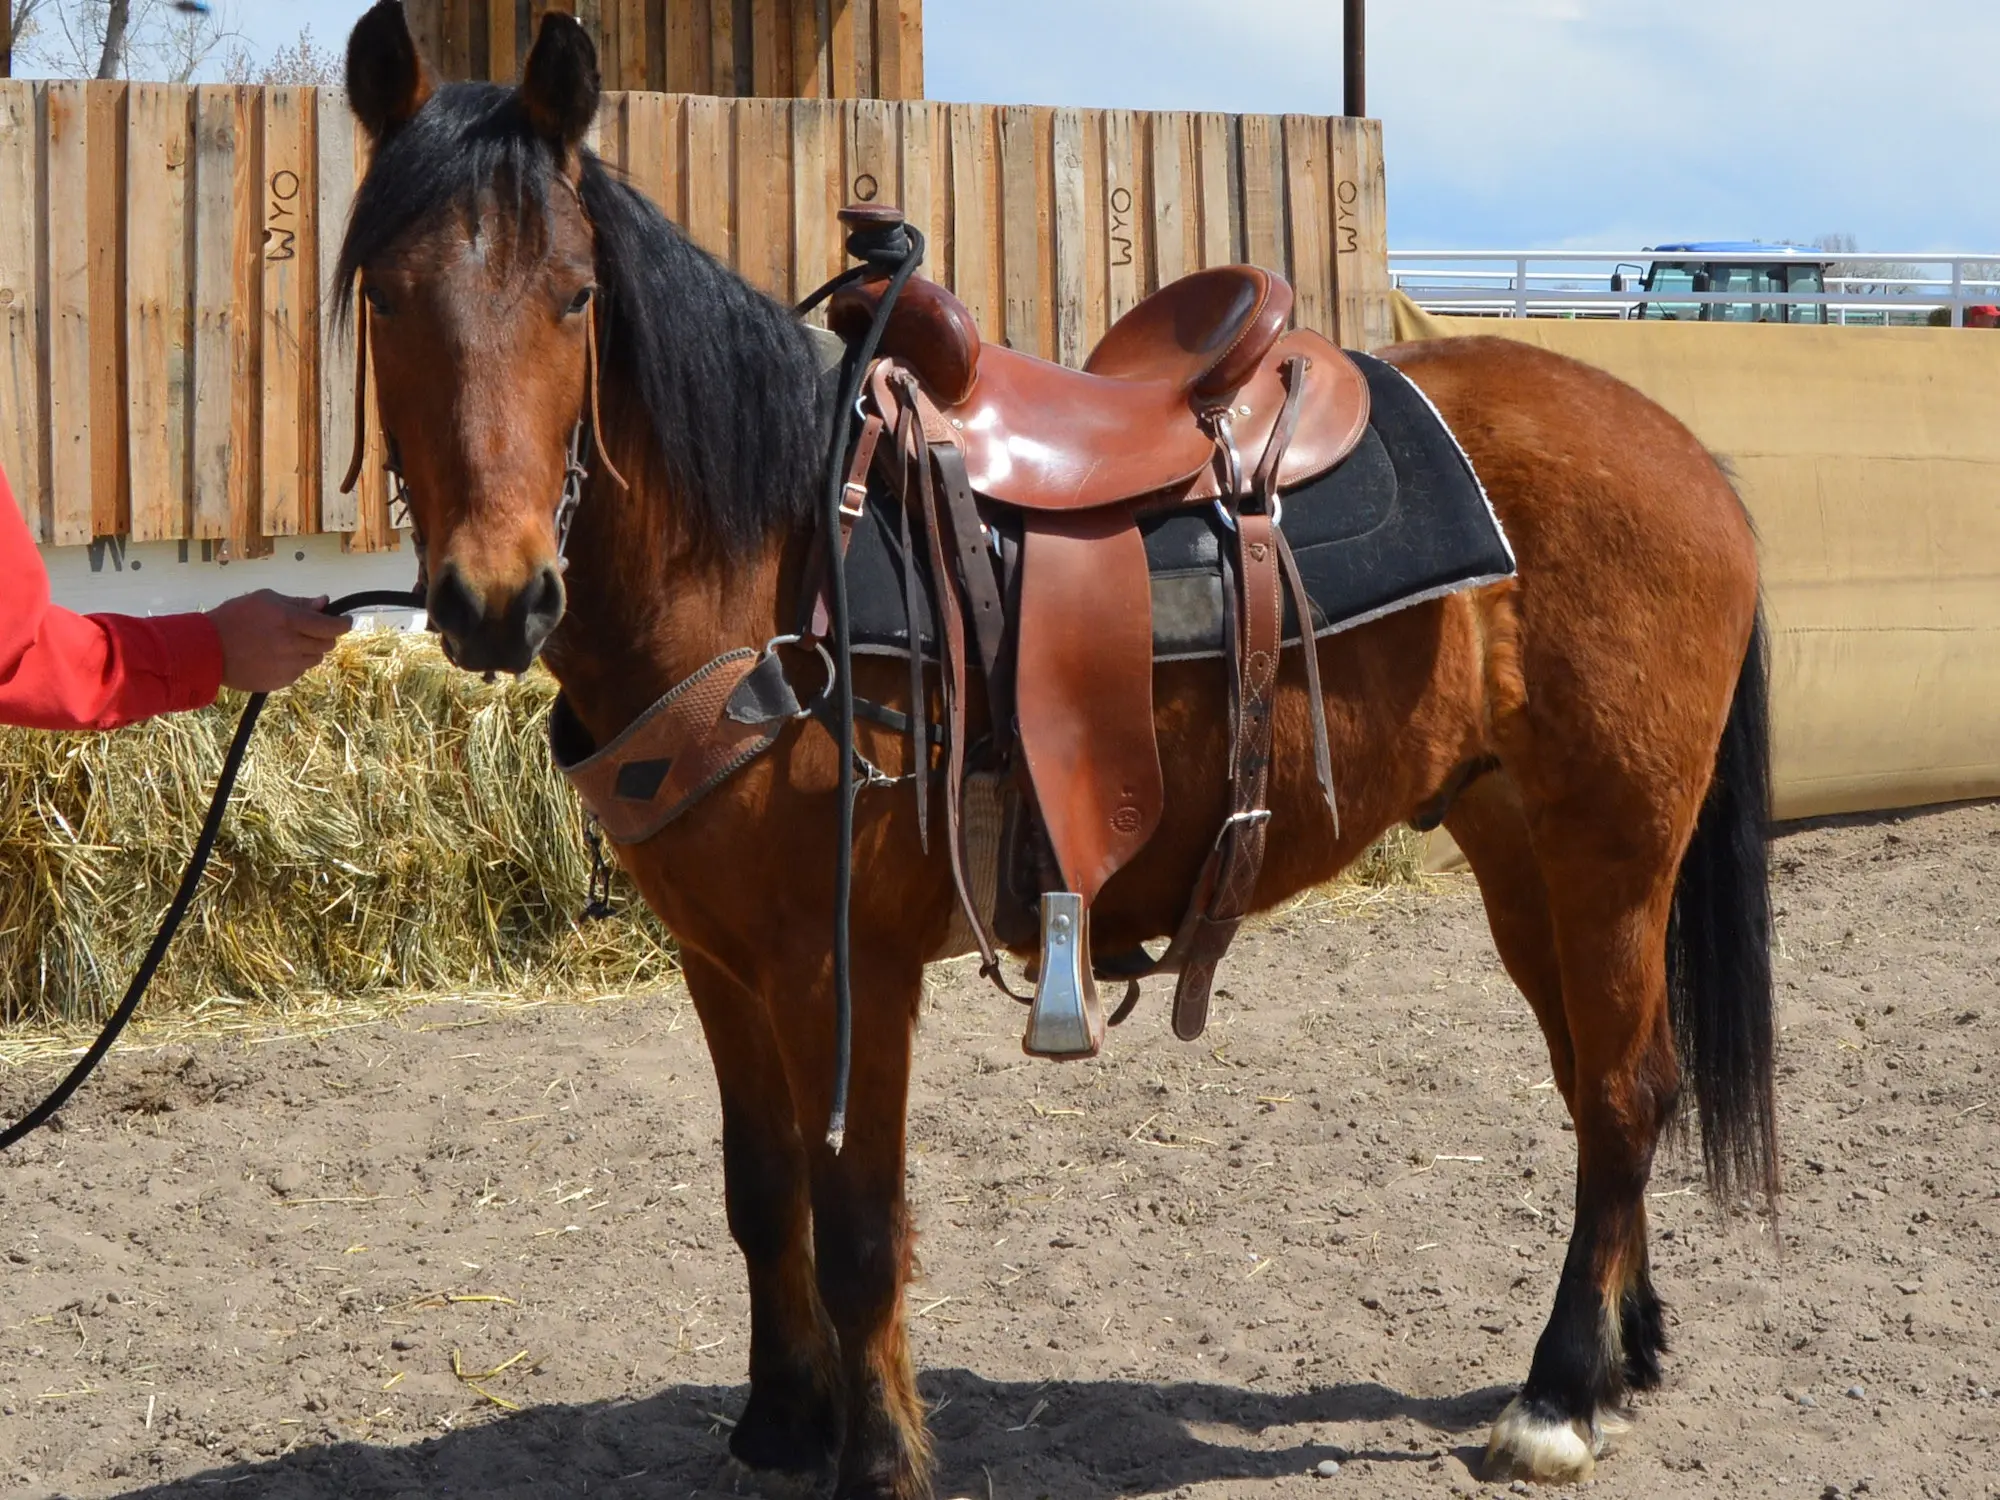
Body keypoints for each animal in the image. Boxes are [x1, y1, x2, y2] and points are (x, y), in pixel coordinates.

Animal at [336, 5, 1776, 1496]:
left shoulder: (841, 967)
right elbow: (760, 1189)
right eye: (383, 295)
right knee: (1611, 1084)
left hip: (1614, 849)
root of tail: (1687, 456)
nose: (496, 598)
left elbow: (857, 1226)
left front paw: (879, 1458)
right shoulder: (721, 961)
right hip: (1519, 848)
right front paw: (783, 1421)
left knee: (1622, 1089)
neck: (770, 560)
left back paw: (1559, 1394)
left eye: (574, 297)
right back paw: (1625, 1349)